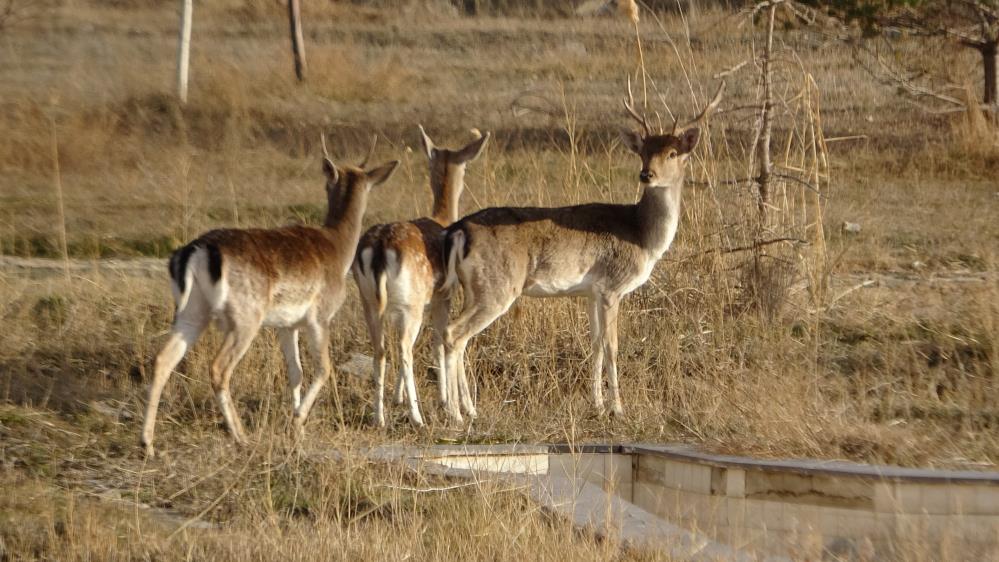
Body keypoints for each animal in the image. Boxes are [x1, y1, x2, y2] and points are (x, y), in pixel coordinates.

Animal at [143, 136, 400, 456]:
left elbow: (296, 371)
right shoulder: (319, 316)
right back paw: (240, 436)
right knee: (218, 368)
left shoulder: (286, 325)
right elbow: (324, 368)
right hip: (244, 317)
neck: (339, 249)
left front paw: (297, 426)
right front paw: (298, 419)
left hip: (191, 312)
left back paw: (148, 443)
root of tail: (196, 251)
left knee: (162, 359)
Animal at [354, 126, 490, 424]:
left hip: (369, 301)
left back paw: (379, 417)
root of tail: (379, 247)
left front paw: (398, 397)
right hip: (411, 302)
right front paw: (455, 404)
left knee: (381, 348)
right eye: (466, 166)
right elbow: (439, 341)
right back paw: (417, 417)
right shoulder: (443, 295)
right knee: (405, 347)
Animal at [442, 82, 724, 420]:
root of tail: (458, 230)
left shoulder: (591, 292)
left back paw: (469, 409)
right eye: (643, 152)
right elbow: (612, 346)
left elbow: (595, 344)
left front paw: (598, 404)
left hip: (474, 287)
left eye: (672, 152)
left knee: (453, 334)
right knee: (454, 334)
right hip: (496, 286)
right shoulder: (612, 287)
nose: (646, 175)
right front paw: (618, 408)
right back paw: (455, 413)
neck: (642, 236)